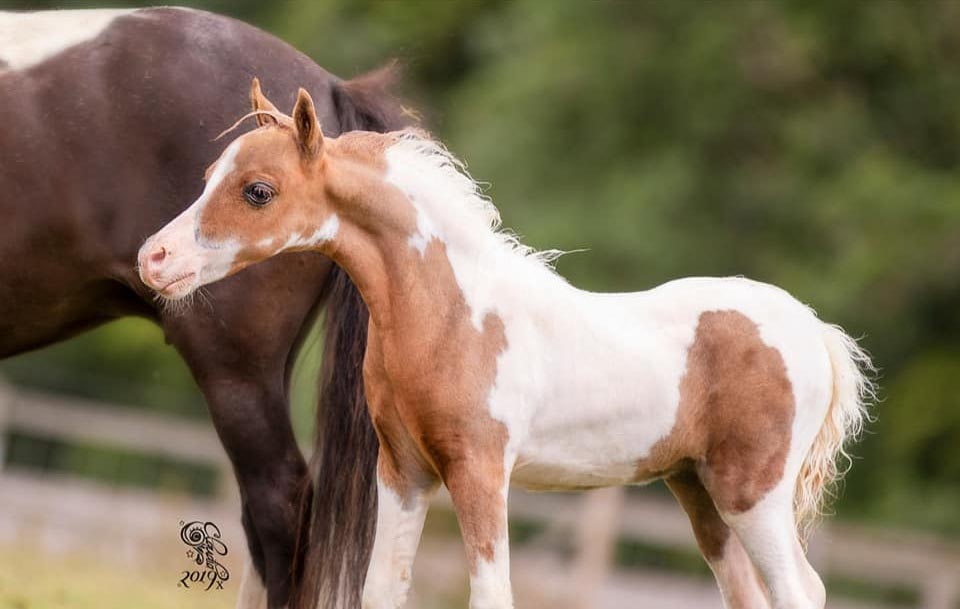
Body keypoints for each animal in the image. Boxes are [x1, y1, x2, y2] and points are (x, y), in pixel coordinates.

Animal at [139, 82, 872, 608]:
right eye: (208, 174)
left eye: (258, 191)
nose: (153, 259)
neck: (452, 314)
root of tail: (812, 329)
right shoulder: (403, 470)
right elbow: (383, 590)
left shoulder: (480, 470)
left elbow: (491, 594)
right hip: (698, 490)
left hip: (753, 491)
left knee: (800, 589)